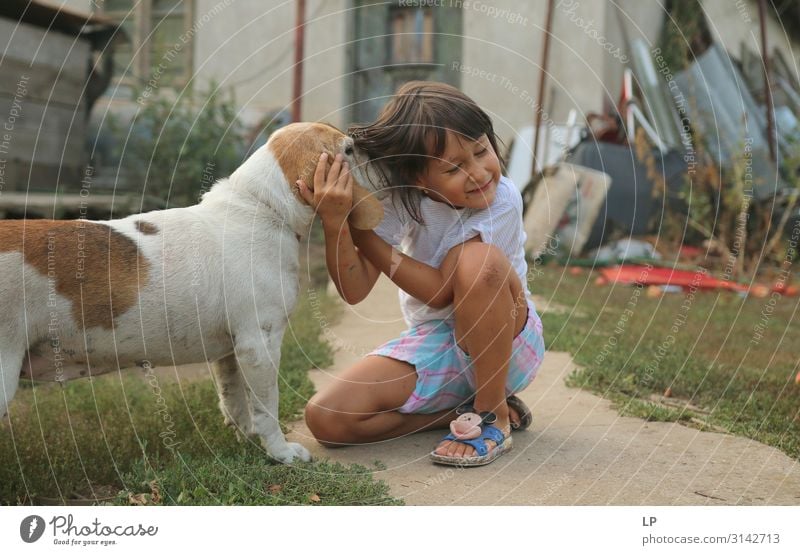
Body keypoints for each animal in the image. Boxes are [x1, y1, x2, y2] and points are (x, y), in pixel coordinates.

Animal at [0, 122, 388, 464]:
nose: (374, 150)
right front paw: (281, 453)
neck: (261, 207)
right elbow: (267, 405)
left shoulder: (233, 351)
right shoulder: (260, 345)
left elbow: (234, 397)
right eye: (349, 150)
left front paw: (246, 437)